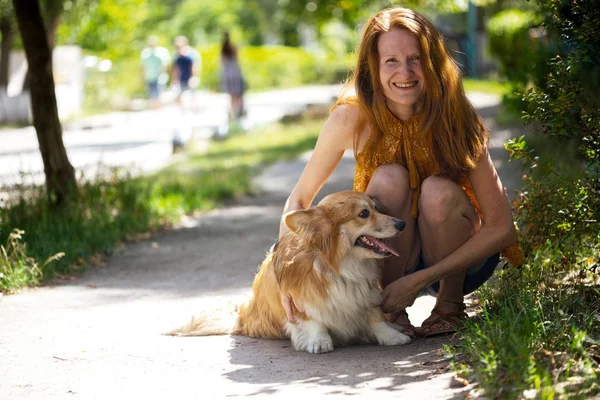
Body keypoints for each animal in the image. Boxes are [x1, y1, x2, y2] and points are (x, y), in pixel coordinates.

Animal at [169, 191, 412, 354]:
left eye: (376, 208)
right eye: (364, 213)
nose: (402, 223)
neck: (339, 265)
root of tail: (240, 318)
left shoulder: (367, 295)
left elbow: (375, 318)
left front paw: (392, 336)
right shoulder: (300, 301)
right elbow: (314, 321)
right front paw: (319, 342)